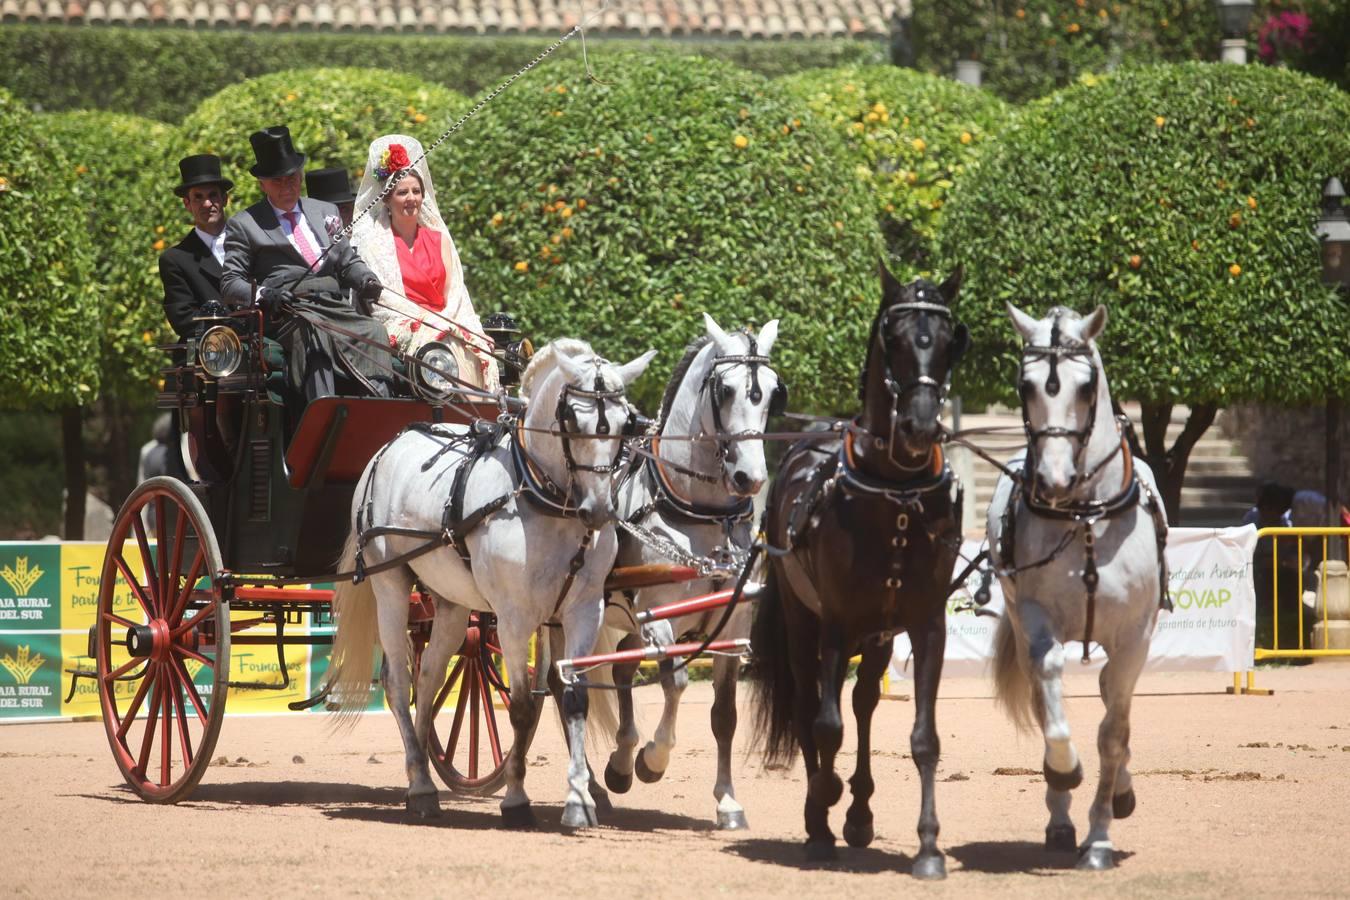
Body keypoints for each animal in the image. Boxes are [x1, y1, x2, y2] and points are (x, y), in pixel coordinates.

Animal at [332, 340, 658, 831]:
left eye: (625, 422)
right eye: (571, 419)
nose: (599, 510)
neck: (543, 500)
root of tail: (390, 445)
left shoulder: (583, 611)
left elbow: (575, 697)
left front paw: (580, 800)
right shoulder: (514, 618)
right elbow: (521, 708)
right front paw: (516, 800)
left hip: (449, 603)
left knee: (427, 679)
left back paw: (421, 782)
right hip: (389, 584)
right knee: (398, 683)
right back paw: (420, 784)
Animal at [591, 315, 783, 831]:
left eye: (773, 391)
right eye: (725, 389)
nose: (750, 478)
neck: (706, 519)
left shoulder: (732, 632)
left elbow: (724, 716)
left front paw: (728, 802)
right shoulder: (661, 621)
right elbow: (675, 684)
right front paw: (652, 760)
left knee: (620, 669)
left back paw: (615, 768)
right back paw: (598, 783)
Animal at [756, 261, 966, 879]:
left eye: (948, 340)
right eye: (893, 338)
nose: (920, 426)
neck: (894, 490)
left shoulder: (926, 626)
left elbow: (924, 738)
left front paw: (928, 847)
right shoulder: (834, 623)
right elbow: (825, 725)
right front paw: (820, 809)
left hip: (877, 636)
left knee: (865, 700)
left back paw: (859, 813)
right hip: (802, 624)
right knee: (811, 708)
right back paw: (820, 814)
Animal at [988, 304, 1166, 874]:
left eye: (1085, 387)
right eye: (1025, 386)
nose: (1052, 480)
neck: (1087, 516)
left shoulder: (1135, 636)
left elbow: (1114, 733)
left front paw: (1102, 835)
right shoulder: (1036, 619)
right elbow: (1054, 713)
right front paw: (1065, 772)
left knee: (1113, 698)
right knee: (1047, 700)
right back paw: (1061, 819)